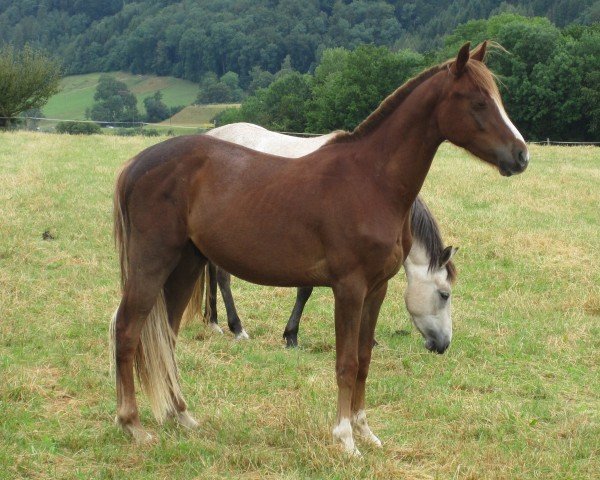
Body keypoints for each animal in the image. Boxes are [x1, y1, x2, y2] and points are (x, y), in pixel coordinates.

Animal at [110, 43, 528, 456]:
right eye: (479, 102)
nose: (522, 155)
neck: (371, 181)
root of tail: (135, 164)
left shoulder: (376, 289)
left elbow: (364, 358)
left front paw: (365, 431)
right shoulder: (349, 288)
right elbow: (345, 362)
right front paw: (345, 439)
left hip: (186, 264)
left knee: (166, 336)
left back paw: (181, 415)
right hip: (153, 262)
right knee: (128, 329)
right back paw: (133, 425)